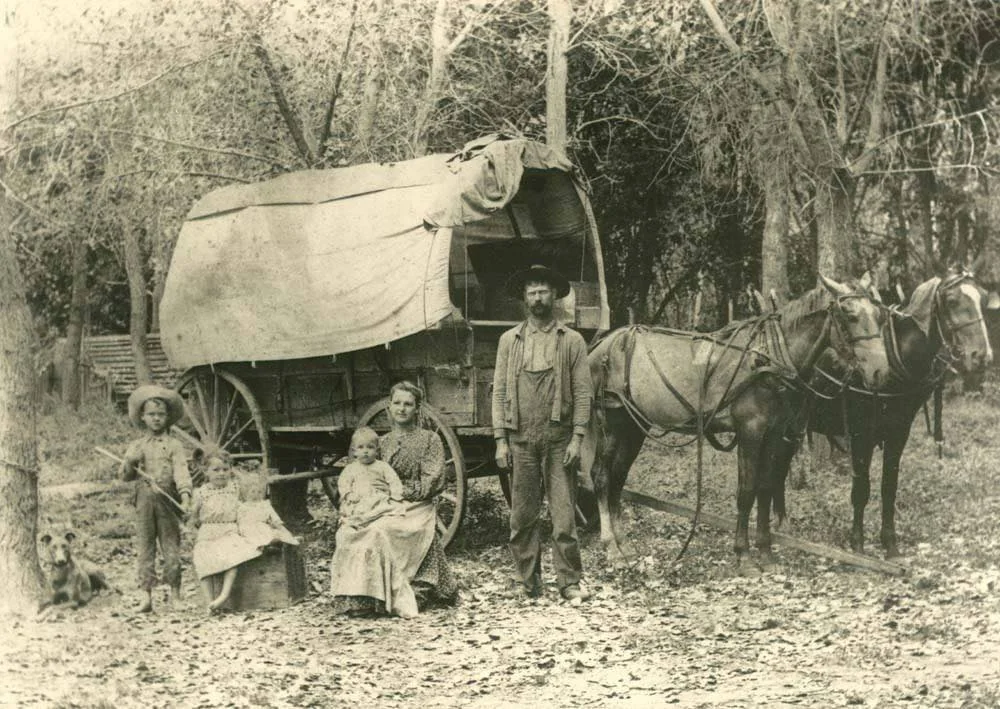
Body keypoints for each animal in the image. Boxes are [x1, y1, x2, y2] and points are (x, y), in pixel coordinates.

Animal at [584, 274, 892, 572]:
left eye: (879, 316)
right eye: (849, 315)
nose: (880, 372)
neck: (770, 357)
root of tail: (602, 344)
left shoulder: (773, 433)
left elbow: (765, 489)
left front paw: (765, 552)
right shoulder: (750, 431)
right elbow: (746, 492)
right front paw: (743, 555)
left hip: (633, 425)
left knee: (618, 476)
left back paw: (624, 544)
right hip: (611, 422)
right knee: (601, 475)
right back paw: (611, 547)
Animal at [808, 266, 996, 560]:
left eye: (984, 298)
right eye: (952, 301)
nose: (981, 356)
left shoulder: (898, 433)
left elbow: (889, 487)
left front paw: (890, 544)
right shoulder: (861, 434)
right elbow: (861, 489)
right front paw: (857, 543)